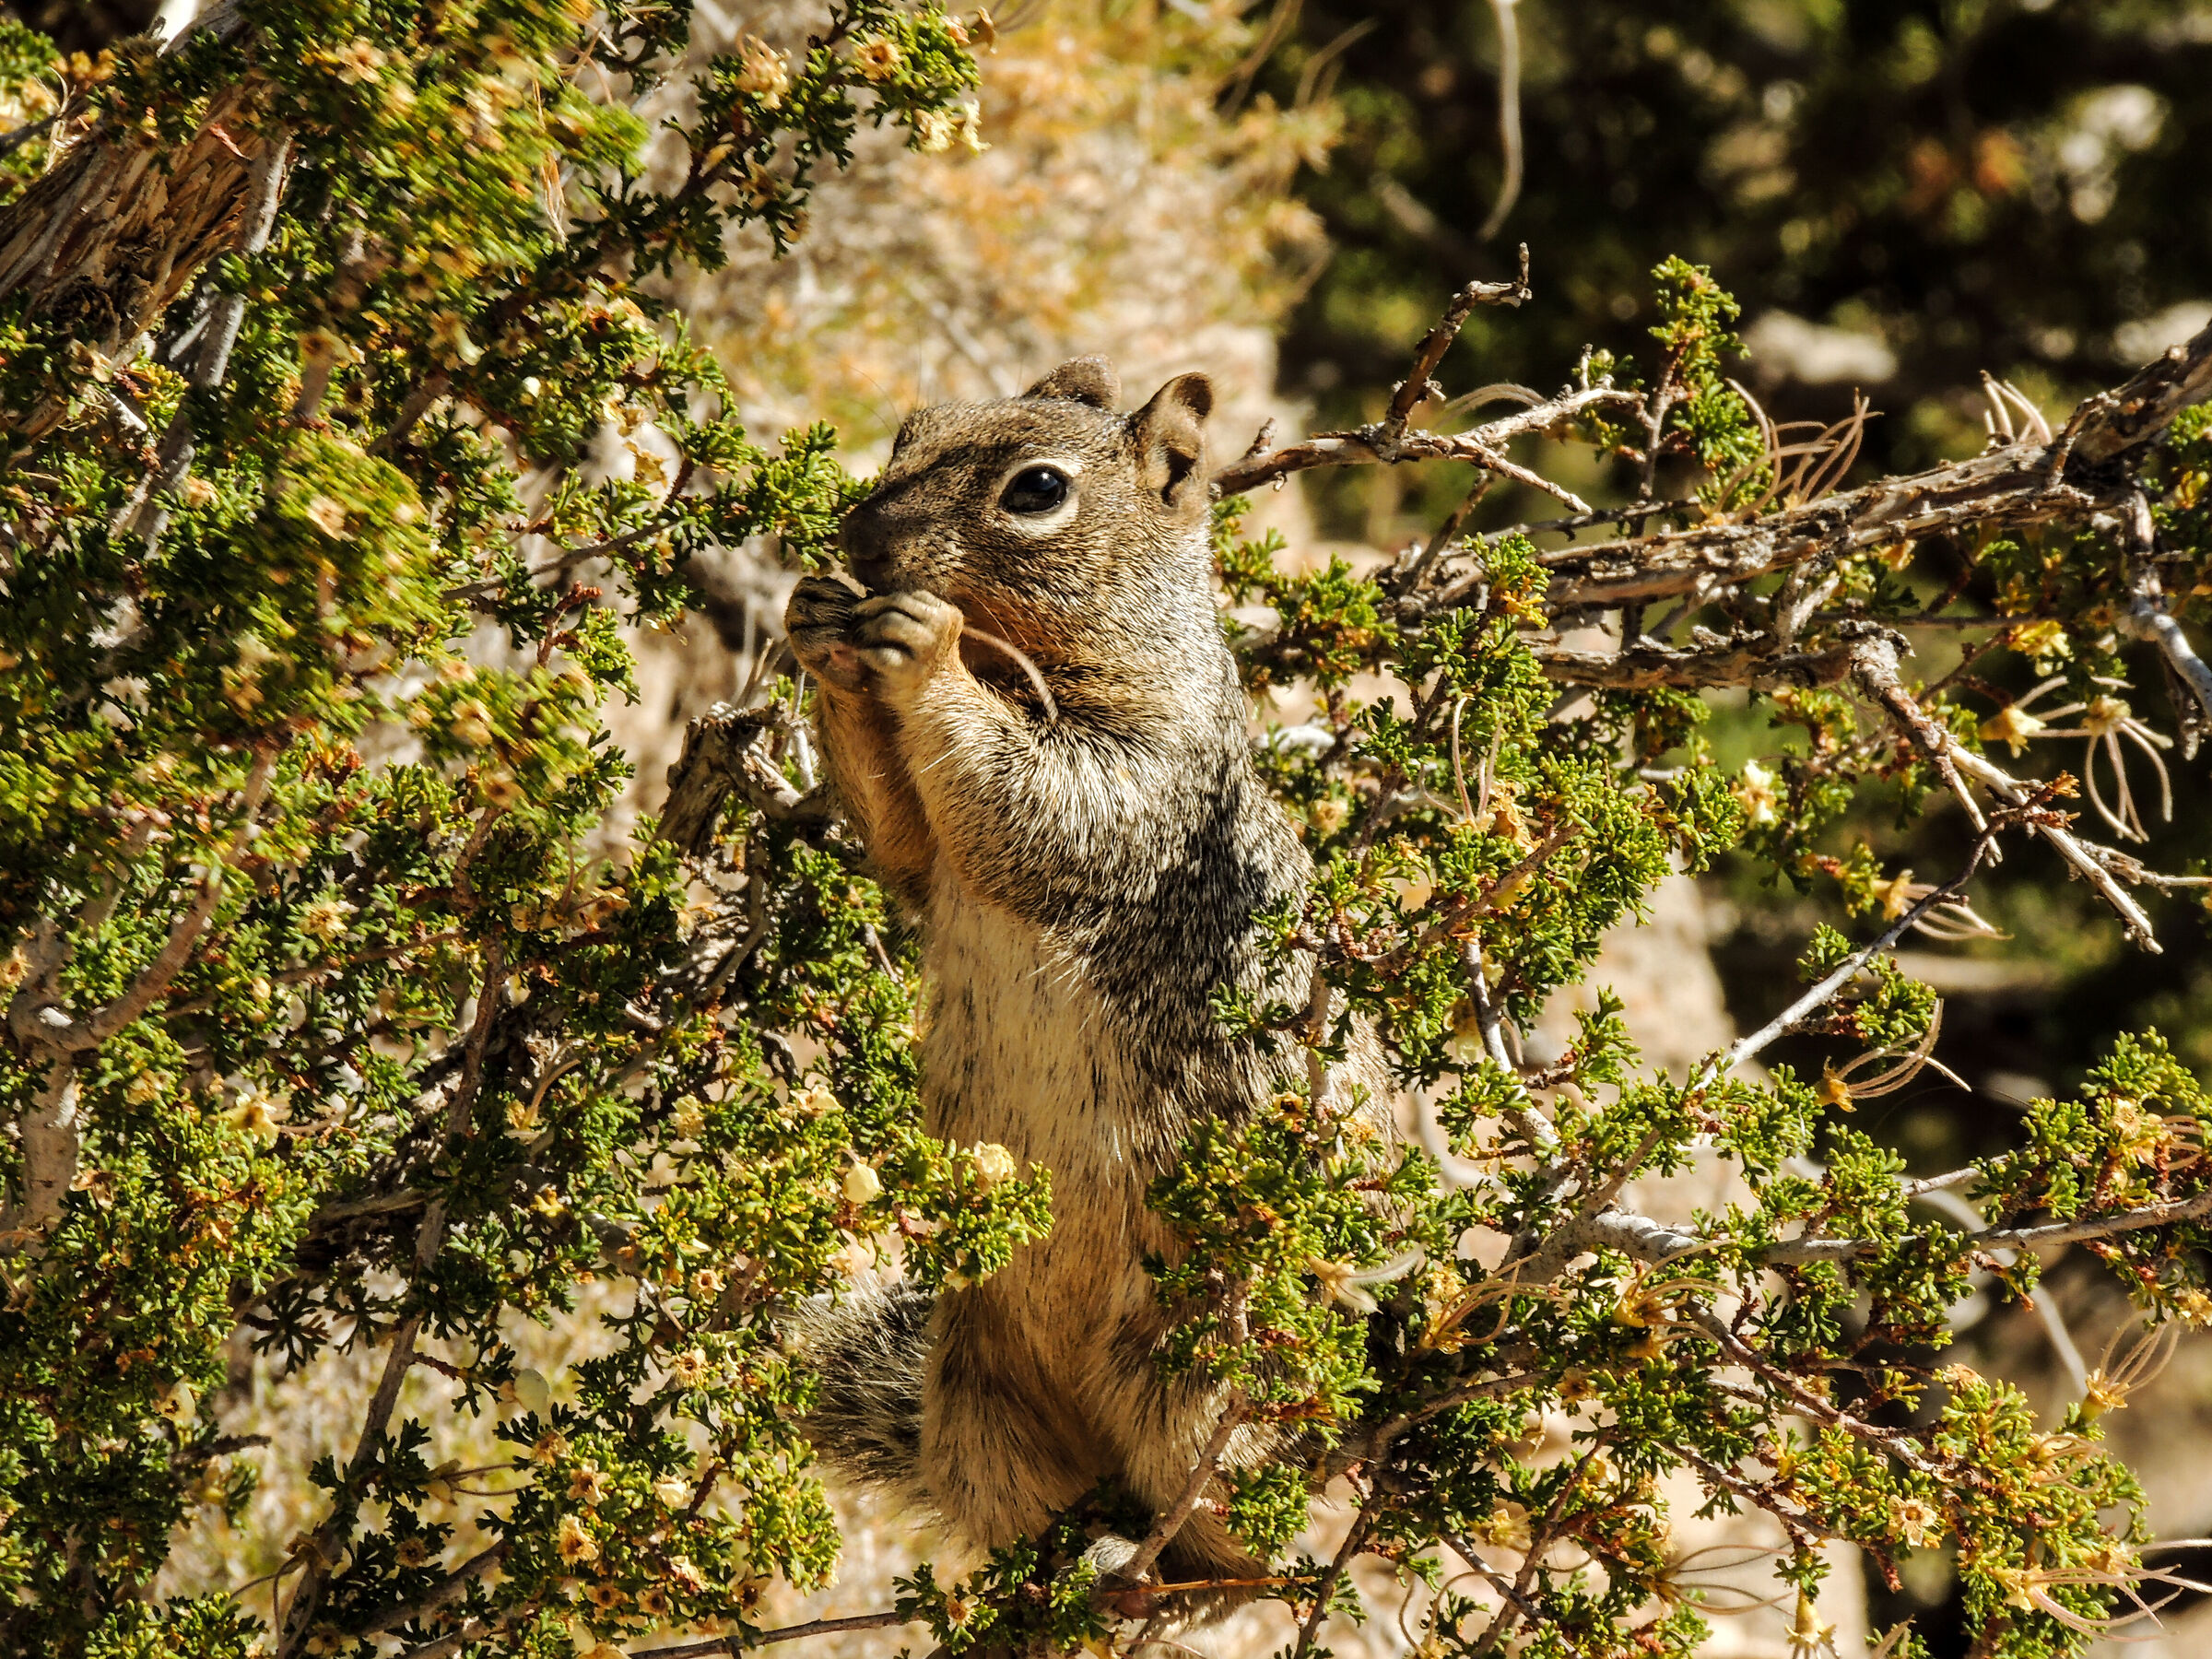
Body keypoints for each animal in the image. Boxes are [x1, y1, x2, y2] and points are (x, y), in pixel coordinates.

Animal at [782, 358, 1388, 1611]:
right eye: (911, 430)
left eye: (1038, 491)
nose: (860, 539)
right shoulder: (929, 864)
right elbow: (902, 839)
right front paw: (818, 623)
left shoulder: (1139, 780)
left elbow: (1036, 799)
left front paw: (920, 646)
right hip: (979, 1398)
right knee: (1047, 1504)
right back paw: (1054, 1571)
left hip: (1204, 1379)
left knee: (1241, 1526)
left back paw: (1186, 1574)